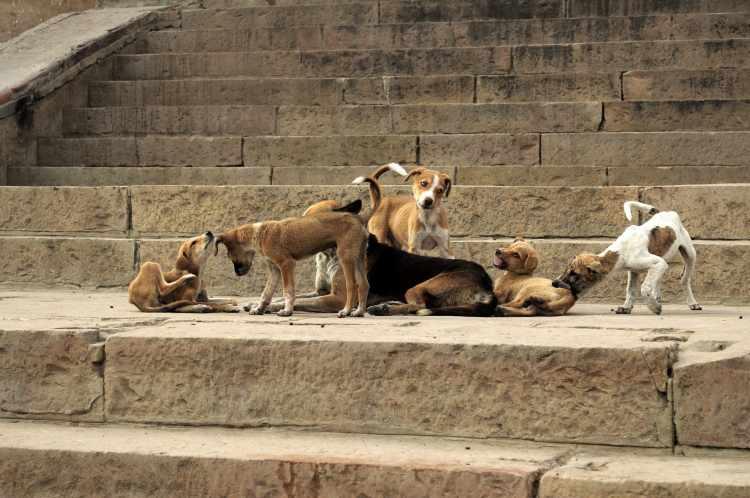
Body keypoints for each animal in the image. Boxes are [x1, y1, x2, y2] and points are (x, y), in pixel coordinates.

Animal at [216, 189, 374, 318]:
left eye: (230, 256)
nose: (237, 273)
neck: (260, 233)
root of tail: (358, 219)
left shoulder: (287, 264)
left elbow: (290, 292)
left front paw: (285, 310)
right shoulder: (276, 269)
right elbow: (269, 292)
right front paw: (258, 307)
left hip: (346, 258)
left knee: (352, 285)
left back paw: (347, 311)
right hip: (358, 258)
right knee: (364, 284)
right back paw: (359, 311)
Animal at [552, 199, 704, 314]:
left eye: (574, 274)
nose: (553, 283)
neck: (621, 250)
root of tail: (665, 213)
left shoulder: (657, 263)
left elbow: (644, 287)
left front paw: (653, 307)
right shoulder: (635, 270)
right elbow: (630, 290)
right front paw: (627, 307)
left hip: (690, 254)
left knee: (684, 280)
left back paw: (692, 303)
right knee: (658, 280)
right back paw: (657, 296)